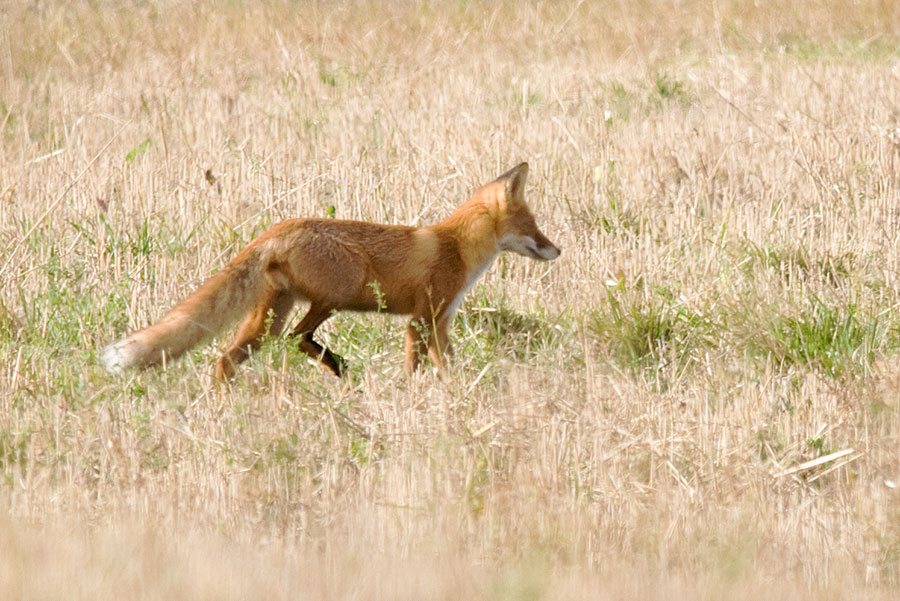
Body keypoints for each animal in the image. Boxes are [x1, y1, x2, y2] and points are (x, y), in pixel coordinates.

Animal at [102, 162, 560, 378]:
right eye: (533, 225)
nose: (558, 249)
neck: (457, 247)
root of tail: (276, 229)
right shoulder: (420, 319)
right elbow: (420, 366)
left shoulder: (439, 321)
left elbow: (445, 366)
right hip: (336, 294)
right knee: (298, 338)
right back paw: (336, 366)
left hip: (268, 319)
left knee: (226, 359)